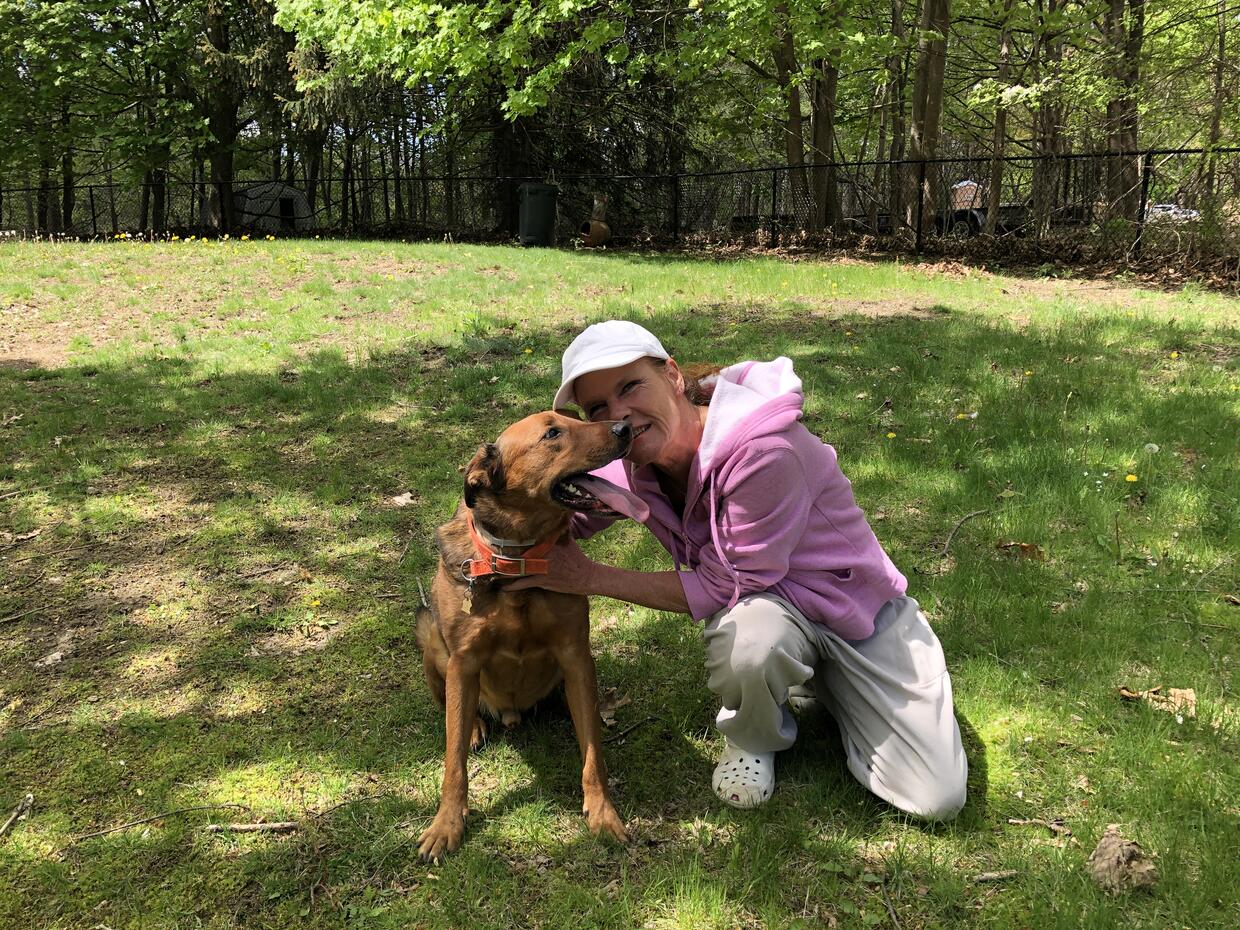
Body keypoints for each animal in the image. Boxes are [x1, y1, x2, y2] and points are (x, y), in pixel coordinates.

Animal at [416, 411, 639, 863]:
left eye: (576, 417)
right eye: (552, 432)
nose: (626, 428)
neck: (518, 561)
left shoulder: (576, 654)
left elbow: (594, 756)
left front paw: (603, 813)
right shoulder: (463, 661)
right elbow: (453, 763)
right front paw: (447, 824)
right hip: (430, 638)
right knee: (452, 710)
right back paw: (475, 727)